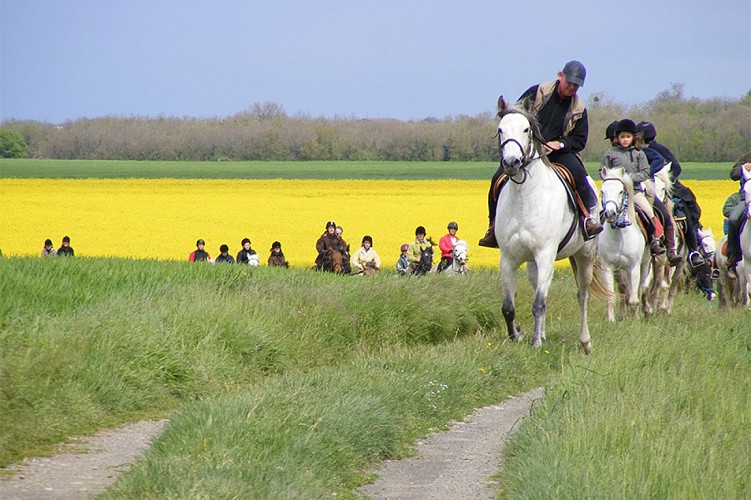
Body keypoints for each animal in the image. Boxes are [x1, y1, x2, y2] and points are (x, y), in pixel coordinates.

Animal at [496, 97, 604, 354]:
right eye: (500, 130)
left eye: (526, 129)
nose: (512, 163)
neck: (525, 198)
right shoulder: (508, 258)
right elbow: (508, 306)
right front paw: (517, 336)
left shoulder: (545, 254)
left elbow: (539, 303)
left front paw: (535, 343)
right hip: (533, 264)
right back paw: (543, 334)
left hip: (585, 255)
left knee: (582, 295)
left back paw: (585, 342)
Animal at [600, 165, 652, 320]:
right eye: (602, 191)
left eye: (621, 191)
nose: (610, 214)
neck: (619, 234)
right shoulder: (608, 266)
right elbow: (611, 295)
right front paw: (611, 320)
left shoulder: (634, 266)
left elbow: (634, 297)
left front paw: (635, 319)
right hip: (620, 269)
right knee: (625, 289)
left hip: (644, 263)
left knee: (641, 289)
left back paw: (644, 311)